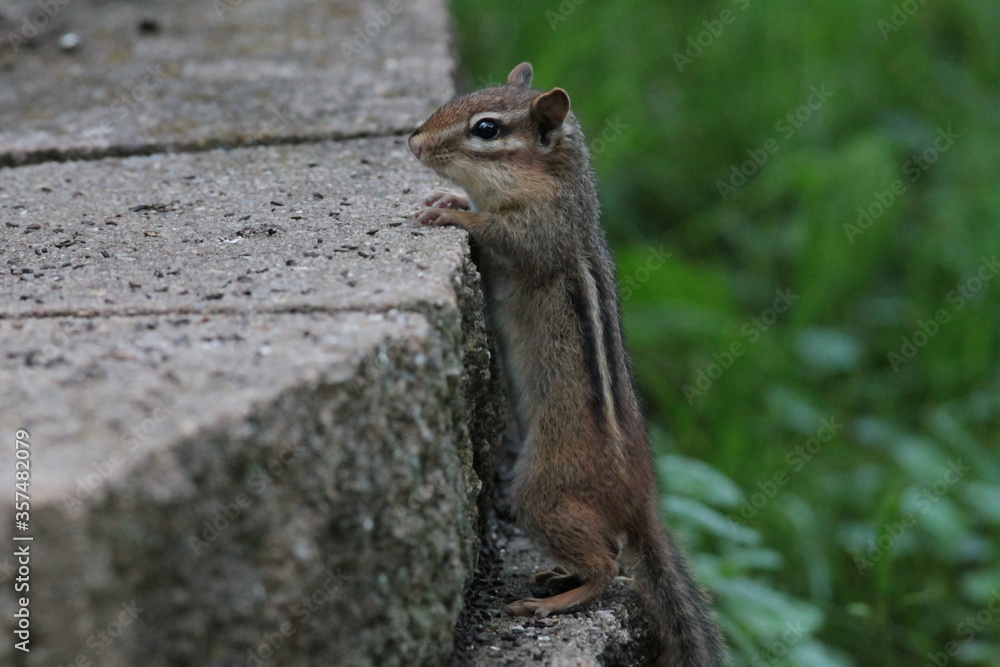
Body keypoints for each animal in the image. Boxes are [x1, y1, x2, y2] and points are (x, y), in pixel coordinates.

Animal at [408, 62, 727, 666]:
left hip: (539, 492)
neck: (555, 184)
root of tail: (641, 499)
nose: (413, 141)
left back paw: (553, 601)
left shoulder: (538, 230)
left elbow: (501, 233)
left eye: (486, 129)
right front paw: (449, 197)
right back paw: (557, 577)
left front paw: (449, 213)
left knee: (607, 565)